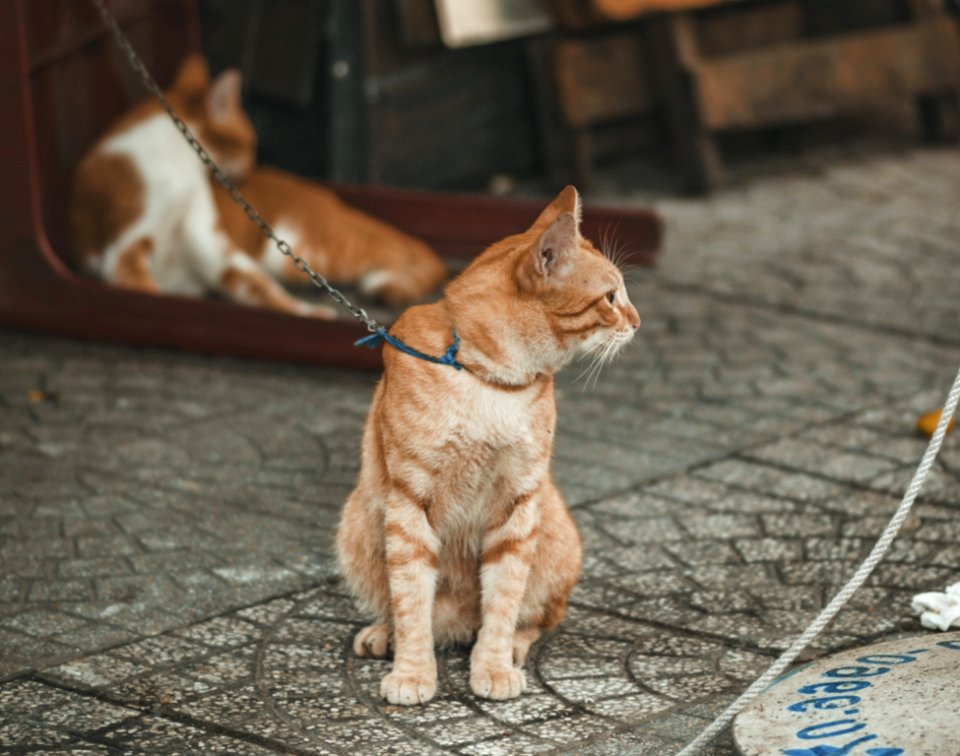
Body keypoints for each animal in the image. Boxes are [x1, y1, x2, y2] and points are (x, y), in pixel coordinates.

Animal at [71, 54, 446, 314]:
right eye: (250, 144)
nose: (251, 166)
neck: (176, 164)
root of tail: (332, 200)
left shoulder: (211, 242)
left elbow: (259, 287)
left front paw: (306, 313)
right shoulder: (125, 251)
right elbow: (149, 292)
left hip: (300, 249)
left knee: (405, 250)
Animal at [334, 186, 640, 704]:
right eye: (611, 297)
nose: (638, 322)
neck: (490, 382)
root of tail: (455, 626)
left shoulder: (518, 504)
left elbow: (503, 599)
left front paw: (493, 666)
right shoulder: (409, 503)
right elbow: (411, 599)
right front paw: (412, 672)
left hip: (553, 530)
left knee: (538, 617)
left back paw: (511, 645)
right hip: (358, 523)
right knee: (403, 607)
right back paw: (385, 634)